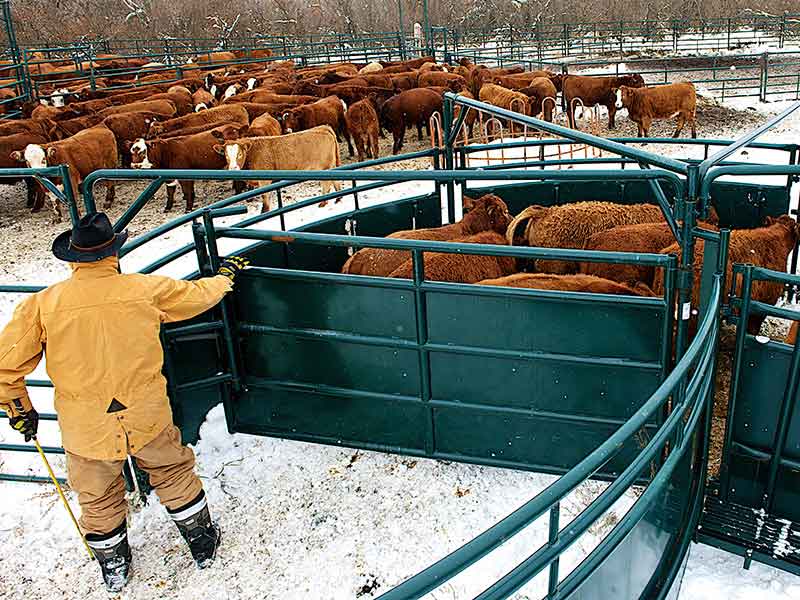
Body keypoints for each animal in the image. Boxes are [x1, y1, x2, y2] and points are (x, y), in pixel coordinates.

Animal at [212, 125, 341, 211]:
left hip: (324, 167)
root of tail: (323, 127)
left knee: (326, 183)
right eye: (226, 155)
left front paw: (264, 212)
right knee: (336, 181)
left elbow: (265, 198)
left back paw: (323, 202)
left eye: (239, 154)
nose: (233, 168)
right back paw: (338, 199)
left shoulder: (264, 182)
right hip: (331, 166)